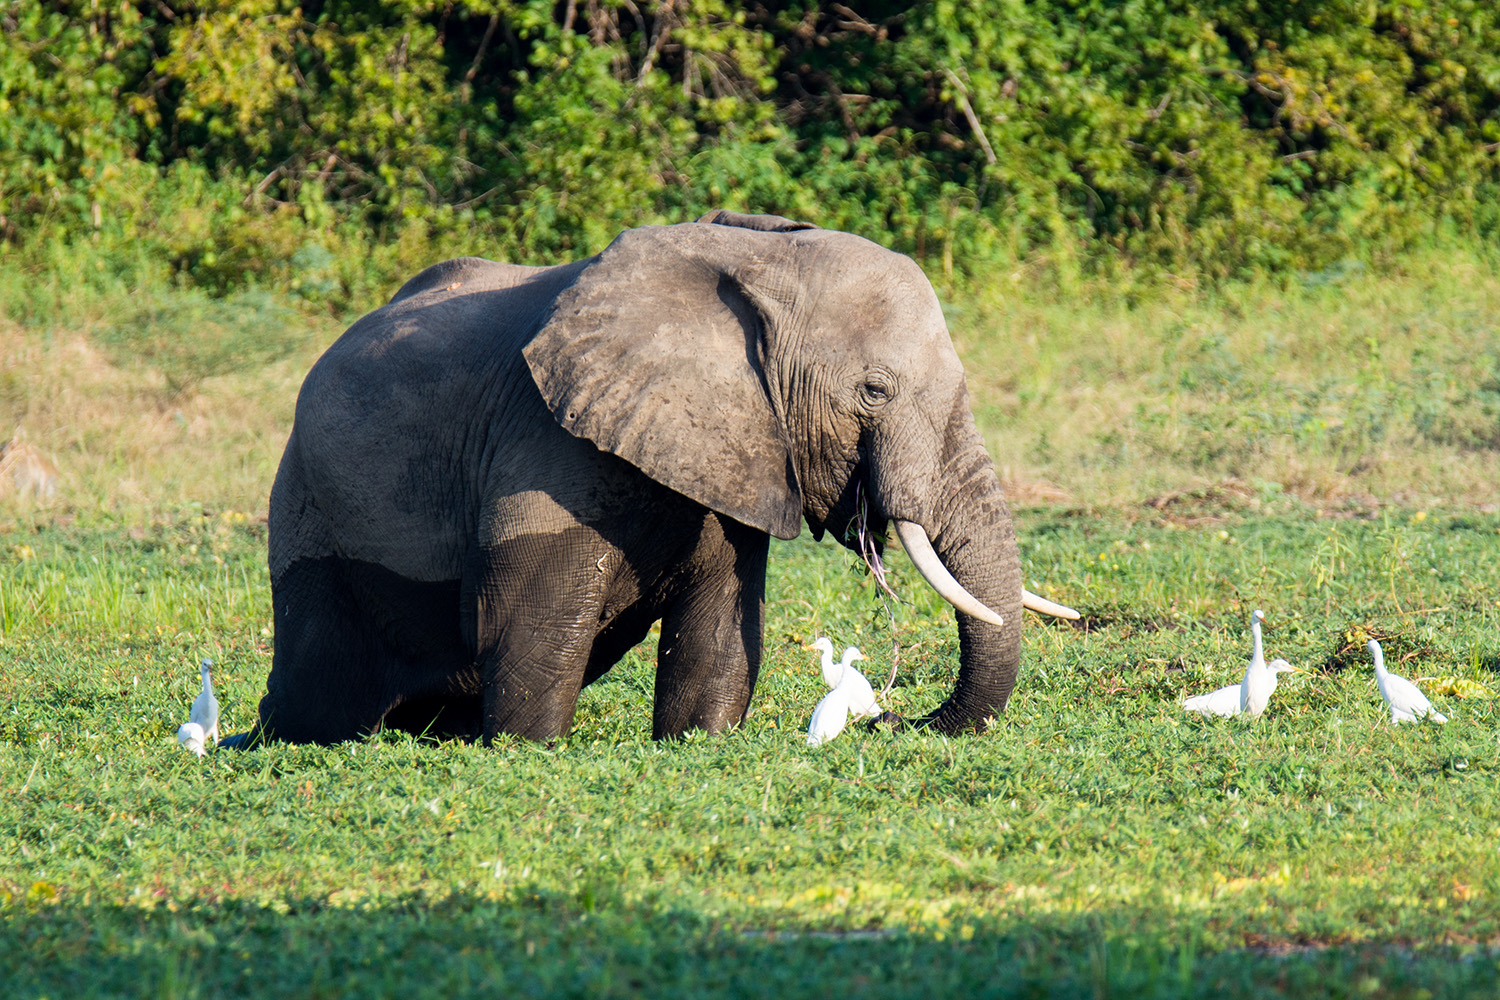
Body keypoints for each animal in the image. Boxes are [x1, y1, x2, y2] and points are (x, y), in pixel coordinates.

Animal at [231, 209, 1075, 747]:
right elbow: (532, 632)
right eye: (874, 390)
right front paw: (529, 755)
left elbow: (722, 634)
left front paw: (698, 745)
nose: (890, 719)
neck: (744, 261)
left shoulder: (732, 446)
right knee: (321, 694)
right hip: (309, 507)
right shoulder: (544, 439)